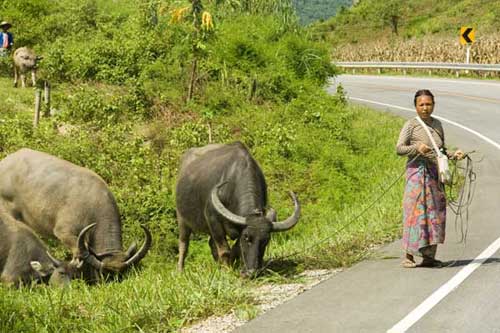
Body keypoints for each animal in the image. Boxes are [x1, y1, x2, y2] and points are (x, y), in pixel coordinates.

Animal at [176, 141, 300, 276]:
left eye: (265, 240)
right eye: (247, 237)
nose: (252, 272)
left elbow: (236, 248)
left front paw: (233, 265)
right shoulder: (213, 219)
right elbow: (224, 250)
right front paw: (227, 271)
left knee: (211, 244)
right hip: (182, 219)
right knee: (184, 245)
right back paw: (180, 271)